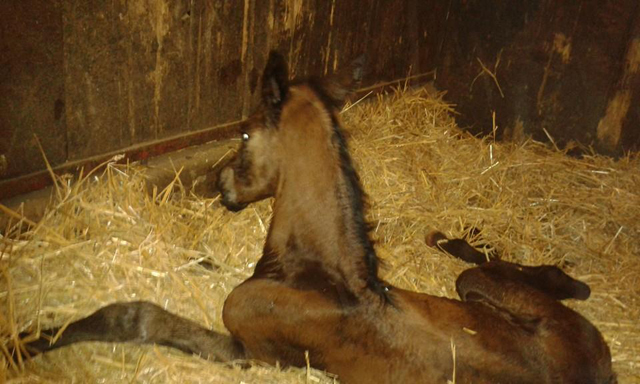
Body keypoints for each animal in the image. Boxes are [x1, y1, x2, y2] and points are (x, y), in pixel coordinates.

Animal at [11, 51, 616, 384]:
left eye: (246, 133)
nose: (221, 186)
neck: (323, 281)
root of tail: (604, 366)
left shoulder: (247, 350)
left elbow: (139, 318)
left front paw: (29, 342)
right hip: (483, 295)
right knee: (531, 278)